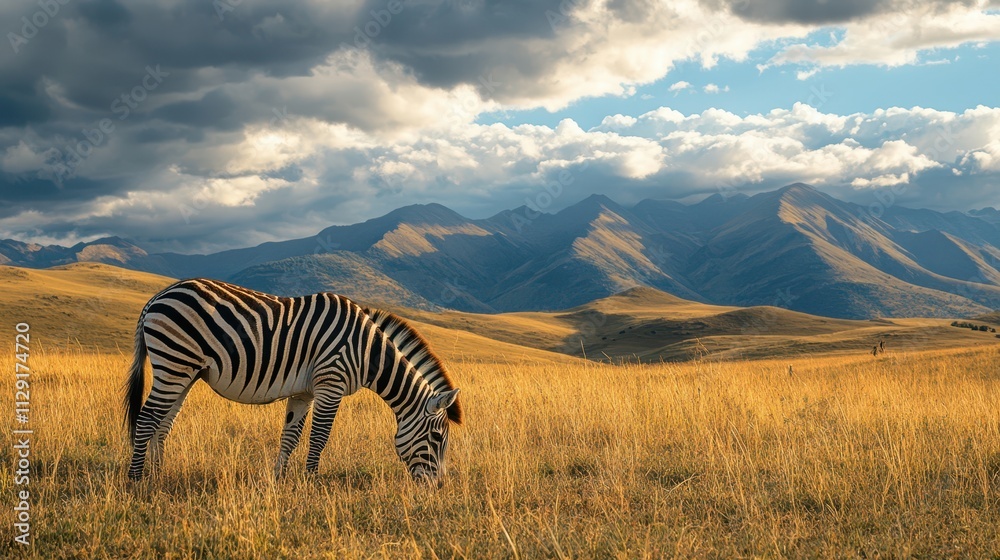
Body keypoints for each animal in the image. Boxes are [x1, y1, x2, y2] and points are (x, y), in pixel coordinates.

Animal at [123, 278, 462, 486]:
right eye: (437, 437)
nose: (438, 487)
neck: (367, 352)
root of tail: (157, 296)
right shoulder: (331, 383)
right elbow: (319, 437)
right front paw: (312, 480)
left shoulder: (304, 392)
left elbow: (291, 436)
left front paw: (280, 479)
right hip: (173, 363)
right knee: (147, 418)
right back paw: (136, 478)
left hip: (184, 372)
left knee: (163, 421)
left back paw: (158, 474)